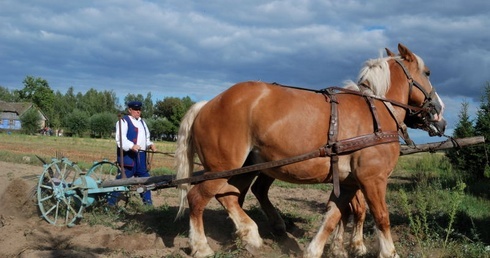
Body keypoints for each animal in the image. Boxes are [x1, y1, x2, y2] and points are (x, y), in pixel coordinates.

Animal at [175, 44, 444, 258]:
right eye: (428, 72)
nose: (440, 113)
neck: (376, 110)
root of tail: (207, 104)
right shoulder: (373, 179)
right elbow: (381, 217)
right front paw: (387, 252)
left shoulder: (348, 183)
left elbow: (332, 217)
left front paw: (317, 250)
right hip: (222, 168)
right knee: (198, 198)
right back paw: (202, 247)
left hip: (245, 167)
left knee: (231, 196)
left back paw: (250, 235)